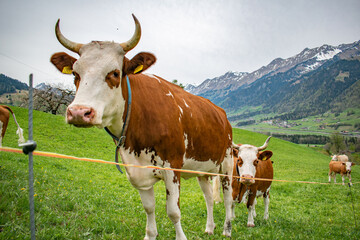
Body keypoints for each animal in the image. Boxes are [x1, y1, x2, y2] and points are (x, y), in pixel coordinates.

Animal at [50, 15, 235, 240]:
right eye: (75, 74)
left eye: (114, 73)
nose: (78, 112)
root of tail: (222, 114)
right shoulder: (137, 169)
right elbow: (149, 208)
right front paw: (150, 234)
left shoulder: (172, 167)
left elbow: (174, 212)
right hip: (203, 168)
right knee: (208, 197)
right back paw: (209, 227)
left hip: (227, 163)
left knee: (228, 198)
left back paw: (227, 229)